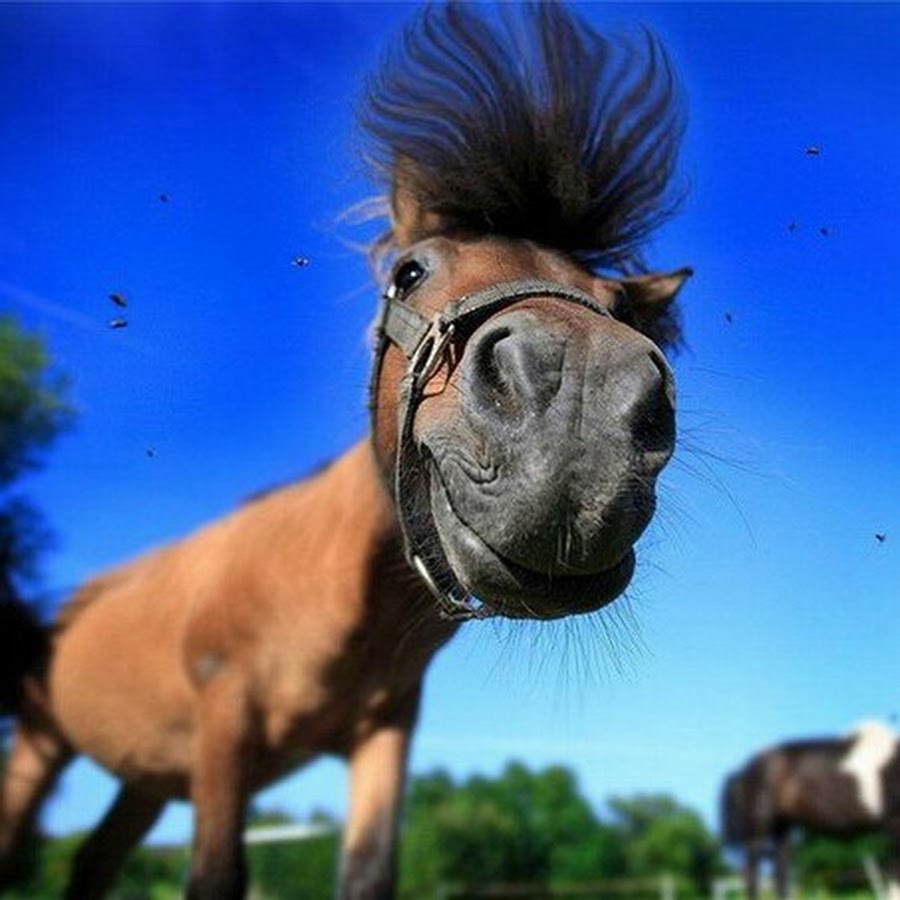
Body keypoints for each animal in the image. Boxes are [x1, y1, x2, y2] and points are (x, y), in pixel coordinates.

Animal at [0, 7, 692, 900]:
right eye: (409, 271)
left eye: (617, 304)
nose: (578, 409)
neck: (323, 581)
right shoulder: (222, 726)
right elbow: (216, 875)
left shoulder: (381, 736)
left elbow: (368, 874)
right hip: (41, 746)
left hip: (145, 777)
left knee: (91, 862)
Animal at [720, 720, 900, 900]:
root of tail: (746, 768)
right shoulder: (893, 825)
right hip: (760, 829)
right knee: (752, 871)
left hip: (782, 828)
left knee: (780, 868)